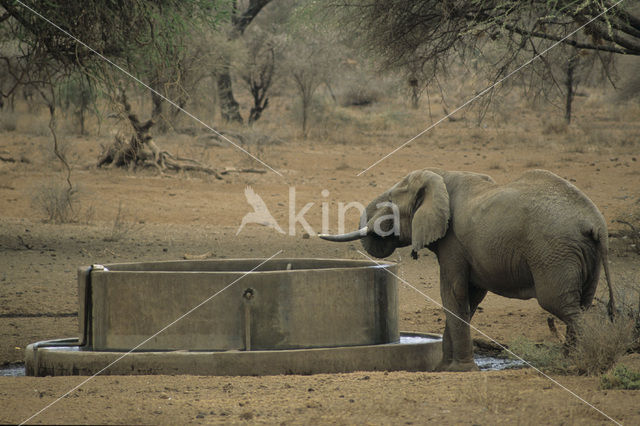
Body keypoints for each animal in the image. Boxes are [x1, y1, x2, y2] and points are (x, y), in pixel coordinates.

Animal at [320, 168, 616, 372]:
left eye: (391, 200)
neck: (440, 176)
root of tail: (595, 224)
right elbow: (469, 299)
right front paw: (444, 368)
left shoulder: (453, 242)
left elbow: (453, 292)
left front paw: (457, 370)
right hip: (582, 256)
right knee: (580, 304)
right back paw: (568, 361)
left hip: (554, 252)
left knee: (560, 304)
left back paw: (577, 362)